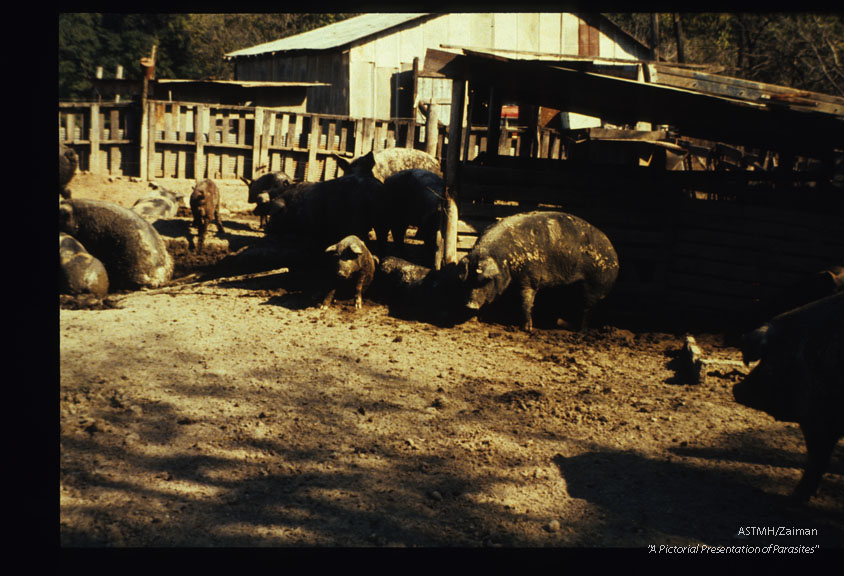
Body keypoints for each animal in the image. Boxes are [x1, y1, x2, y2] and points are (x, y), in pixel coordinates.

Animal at [458, 209, 616, 330]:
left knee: (587, 308)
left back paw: (581, 331)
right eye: (468, 279)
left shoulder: (530, 277)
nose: (470, 306)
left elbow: (526, 301)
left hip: (594, 285)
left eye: (485, 280)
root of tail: (614, 255)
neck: (506, 259)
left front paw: (527, 329)